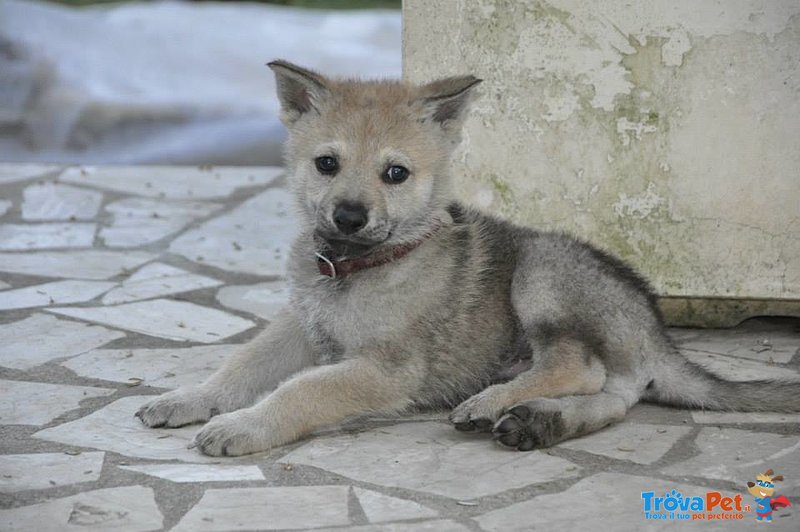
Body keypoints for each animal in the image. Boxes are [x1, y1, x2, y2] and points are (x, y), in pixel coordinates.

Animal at [138, 61, 800, 454]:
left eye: (396, 173)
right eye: (326, 163)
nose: (349, 217)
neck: (358, 269)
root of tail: (654, 328)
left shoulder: (385, 370)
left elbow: (302, 391)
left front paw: (244, 426)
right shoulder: (300, 328)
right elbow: (239, 367)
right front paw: (189, 399)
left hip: (541, 274)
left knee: (579, 365)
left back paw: (492, 401)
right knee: (617, 395)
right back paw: (540, 421)